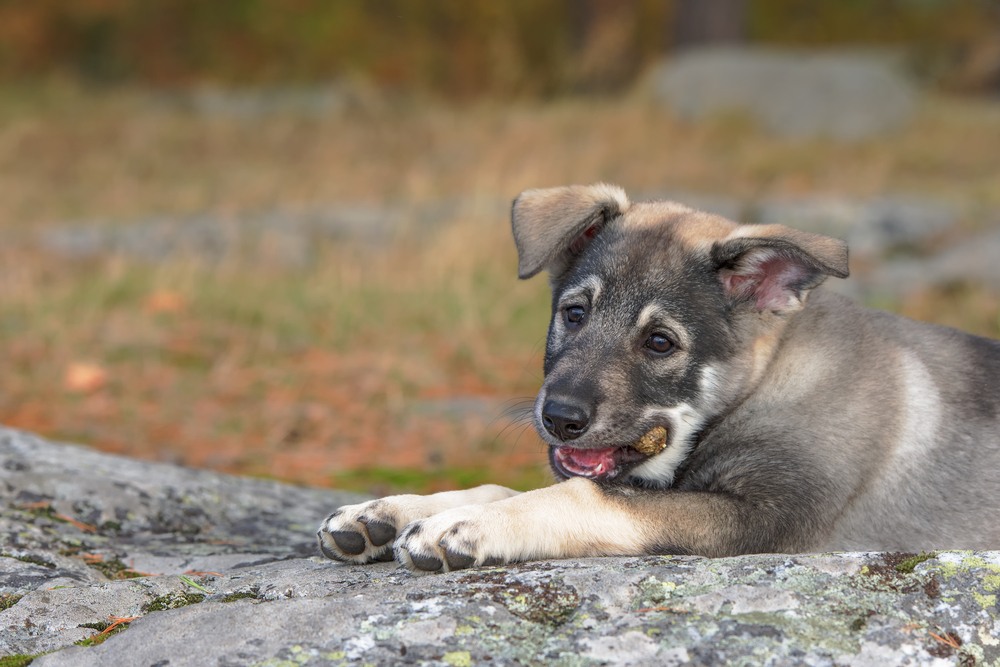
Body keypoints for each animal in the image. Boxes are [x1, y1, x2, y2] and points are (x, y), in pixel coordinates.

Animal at [318, 184, 1000, 576]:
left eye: (660, 343)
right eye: (574, 313)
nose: (558, 416)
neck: (762, 385)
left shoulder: (764, 519)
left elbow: (587, 497)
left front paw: (466, 528)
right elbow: (507, 485)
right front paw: (392, 512)